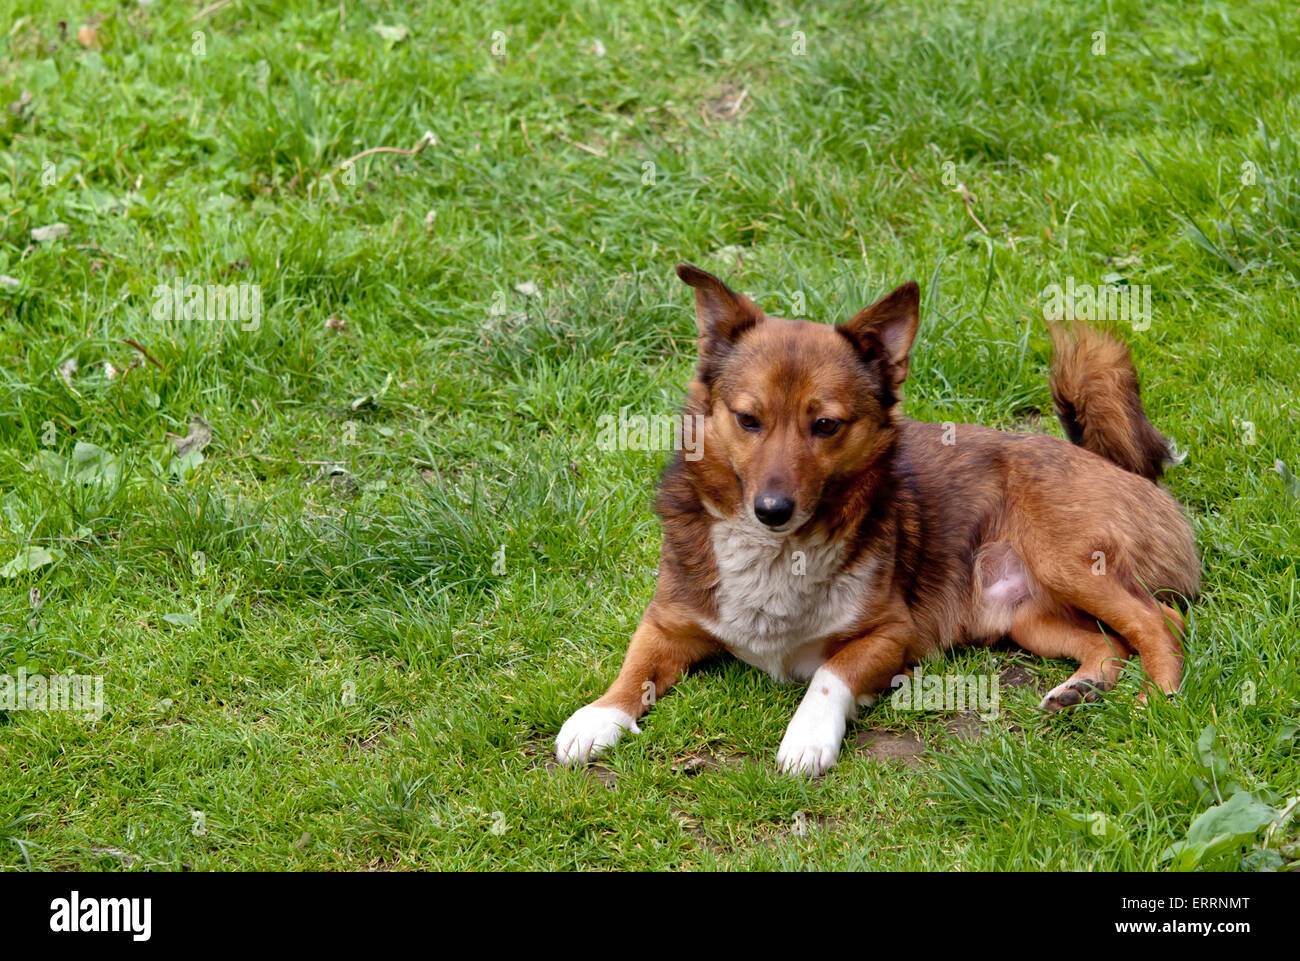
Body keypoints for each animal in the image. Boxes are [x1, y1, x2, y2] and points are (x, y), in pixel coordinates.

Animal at [553, 262, 1201, 775]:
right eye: (747, 419)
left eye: (825, 425)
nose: (772, 510)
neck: (778, 553)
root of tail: (1112, 462)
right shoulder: (667, 621)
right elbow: (634, 665)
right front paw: (599, 715)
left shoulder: (892, 634)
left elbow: (829, 672)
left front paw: (807, 736)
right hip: (1027, 617)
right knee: (1107, 643)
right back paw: (1081, 688)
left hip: (1066, 562)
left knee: (1160, 620)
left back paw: (1157, 699)